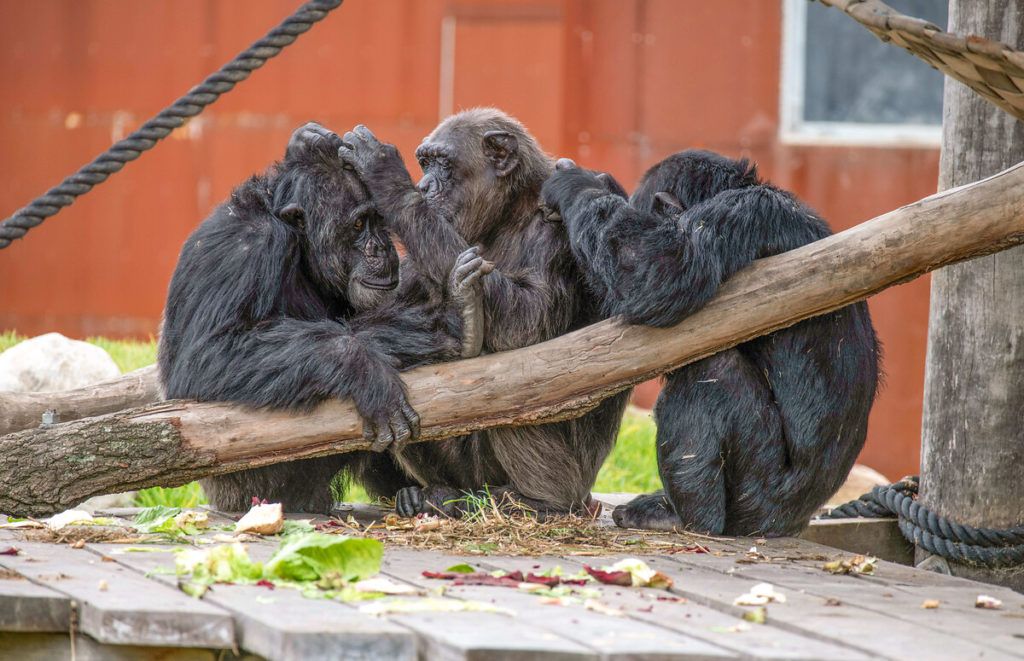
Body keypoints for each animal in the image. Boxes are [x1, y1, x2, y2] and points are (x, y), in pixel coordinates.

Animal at [157, 125, 493, 517]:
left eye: (380, 221)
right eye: (360, 223)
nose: (381, 247)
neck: (299, 245)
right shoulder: (242, 247)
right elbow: (209, 356)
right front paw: (366, 372)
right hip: (257, 488)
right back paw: (453, 322)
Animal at [317, 108, 630, 519]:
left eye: (443, 164)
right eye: (425, 163)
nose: (424, 186)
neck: (508, 211)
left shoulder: (557, 221)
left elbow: (527, 323)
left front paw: (385, 174)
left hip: (570, 481)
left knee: (526, 380)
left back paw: (538, 501)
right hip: (466, 474)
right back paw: (427, 495)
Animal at [544, 150, 880, 540]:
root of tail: (792, 523)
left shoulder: (739, 216)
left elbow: (664, 270)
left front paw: (576, 185)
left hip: (756, 495)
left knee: (711, 374)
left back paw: (683, 518)